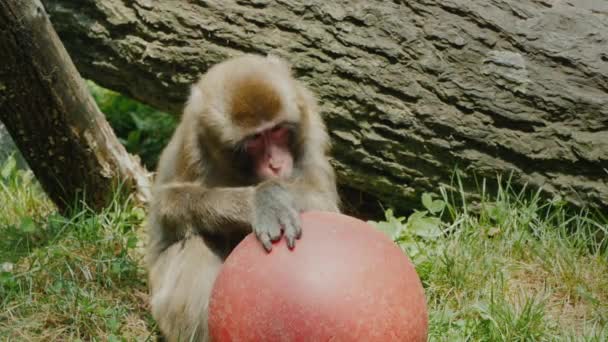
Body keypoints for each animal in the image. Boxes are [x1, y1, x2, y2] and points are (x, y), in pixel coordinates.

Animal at [145, 54, 340, 340]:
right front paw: (262, 201)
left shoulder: (310, 123)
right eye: (255, 139)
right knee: (195, 244)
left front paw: (271, 196)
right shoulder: (192, 140)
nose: (276, 164)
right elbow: (167, 205)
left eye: (277, 130)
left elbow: (323, 201)